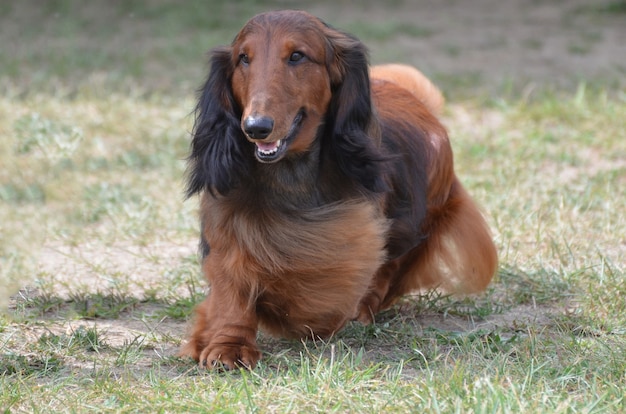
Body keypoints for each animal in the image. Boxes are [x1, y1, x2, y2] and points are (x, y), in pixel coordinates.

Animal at [182, 10, 498, 368]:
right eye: (243, 59)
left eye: (297, 56)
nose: (255, 127)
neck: (288, 176)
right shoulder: (225, 228)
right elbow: (231, 288)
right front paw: (227, 344)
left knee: (388, 267)